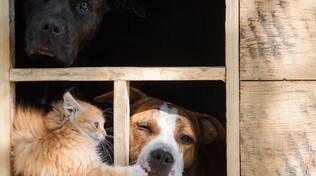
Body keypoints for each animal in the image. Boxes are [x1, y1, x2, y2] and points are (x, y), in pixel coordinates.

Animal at [12, 93, 146, 175]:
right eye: (96, 124)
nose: (105, 133)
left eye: (103, 125)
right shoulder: (86, 169)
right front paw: (138, 170)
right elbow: (115, 171)